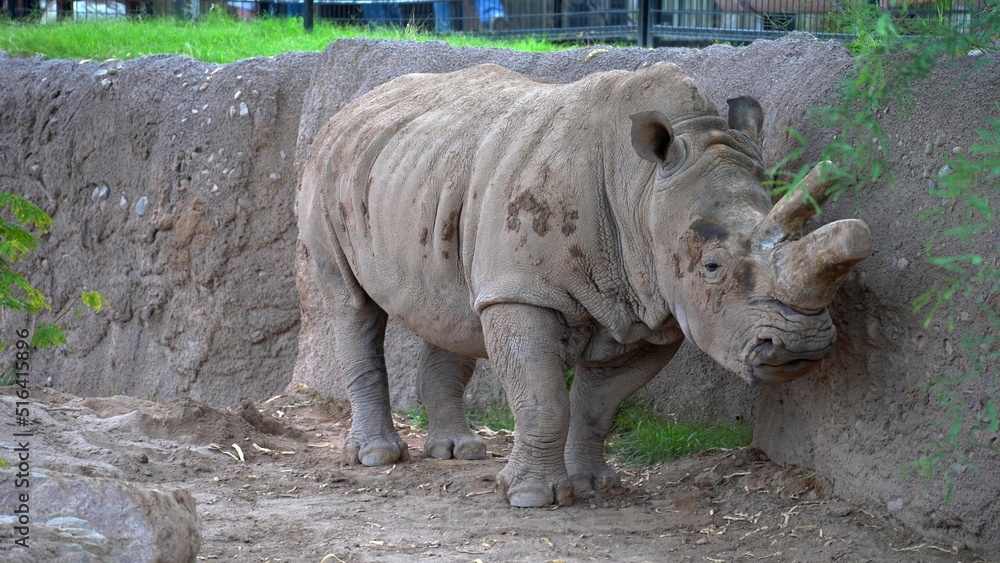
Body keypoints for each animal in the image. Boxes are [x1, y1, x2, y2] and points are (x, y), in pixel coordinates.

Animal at [297, 62, 872, 508]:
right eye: (711, 266)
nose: (798, 347)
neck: (642, 188)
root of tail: (352, 106)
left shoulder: (652, 311)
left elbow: (600, 405)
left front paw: (593, 485)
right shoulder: (524, 289)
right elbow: (543, 397)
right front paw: (530, 498)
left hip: (425, 172)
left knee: (453, 307)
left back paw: (458, 451)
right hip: (327, 169)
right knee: (351, 305)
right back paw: (377, 457)